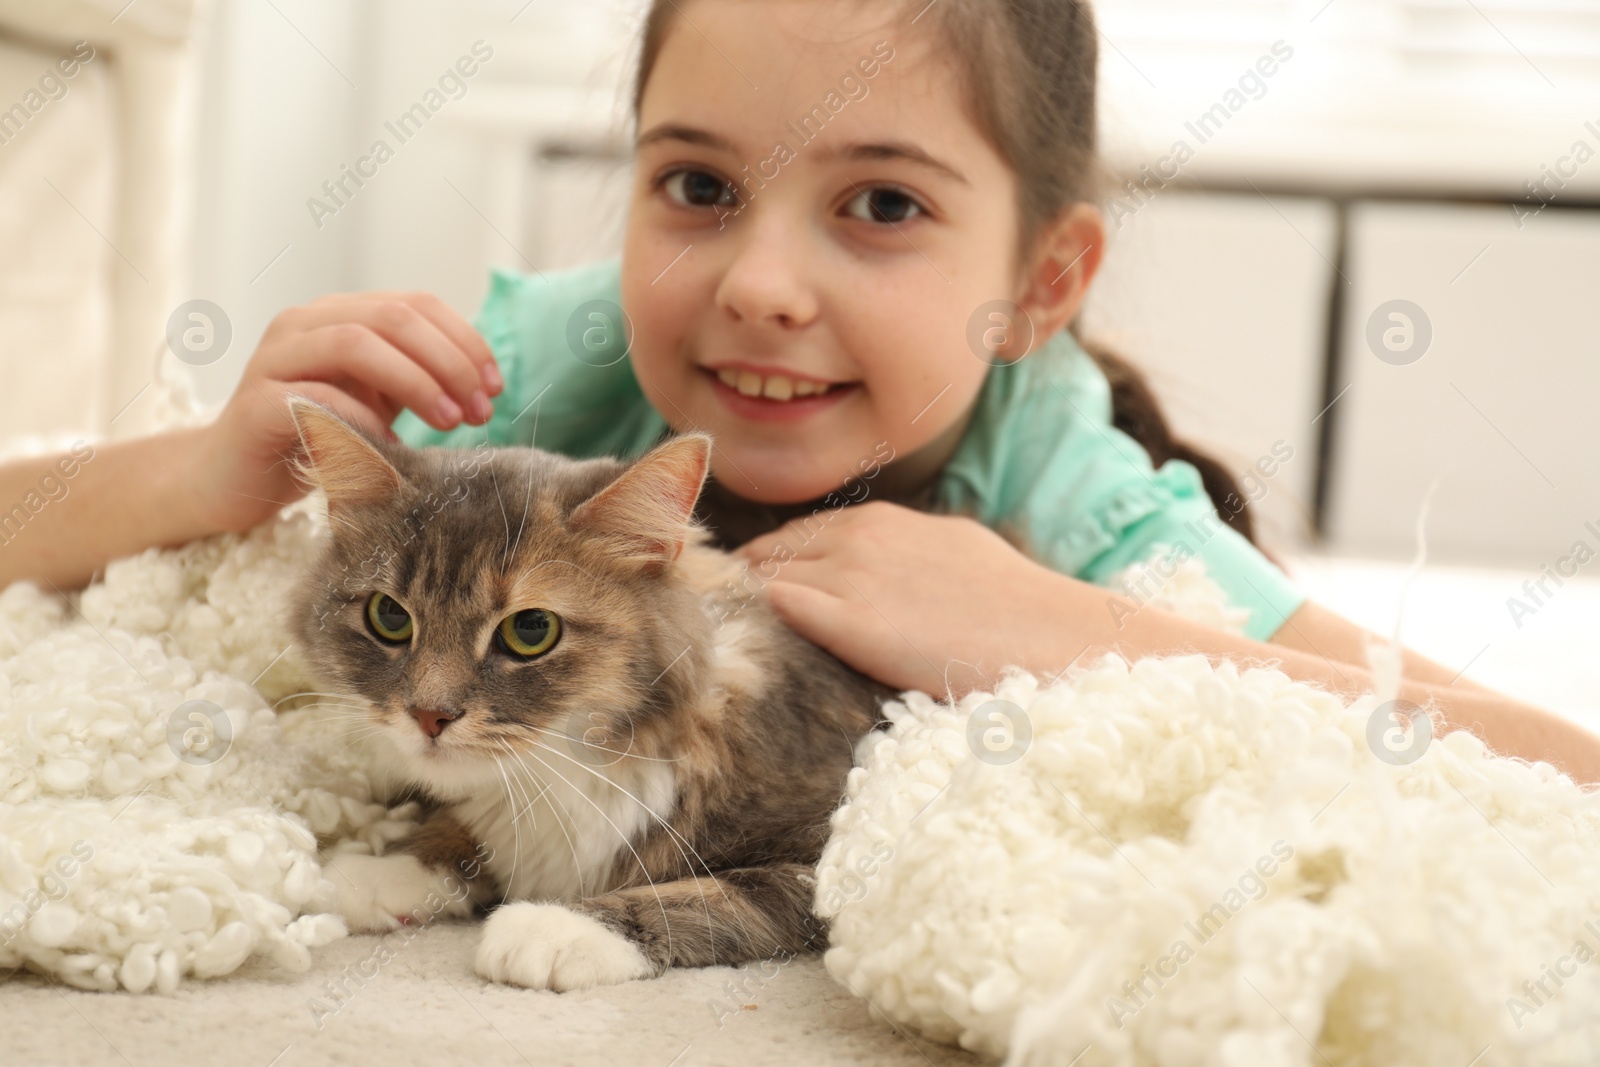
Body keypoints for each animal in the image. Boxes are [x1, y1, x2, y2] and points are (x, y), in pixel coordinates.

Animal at [281, 399, 896, 991]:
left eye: (531, 630)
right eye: (389, 616)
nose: (428, 715)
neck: (572, 767)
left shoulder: (836, 846)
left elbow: (718, 895)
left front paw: (554, 928)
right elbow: (460, 833)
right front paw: (375, 871)